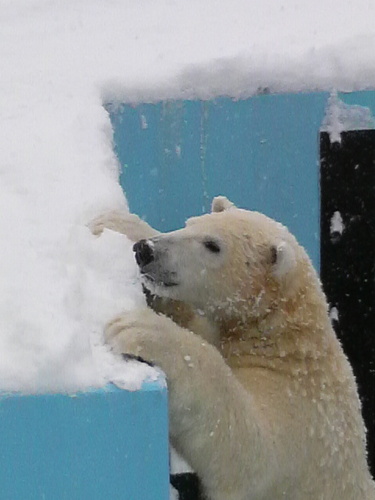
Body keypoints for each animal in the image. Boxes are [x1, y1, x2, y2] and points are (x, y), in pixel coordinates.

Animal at [92, 198, 375, 500]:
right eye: (190, 223)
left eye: (212, 245)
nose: (146, 250)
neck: (285, 344)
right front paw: (116, 222)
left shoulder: (304, 418)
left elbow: (246, 446)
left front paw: (141, 329)